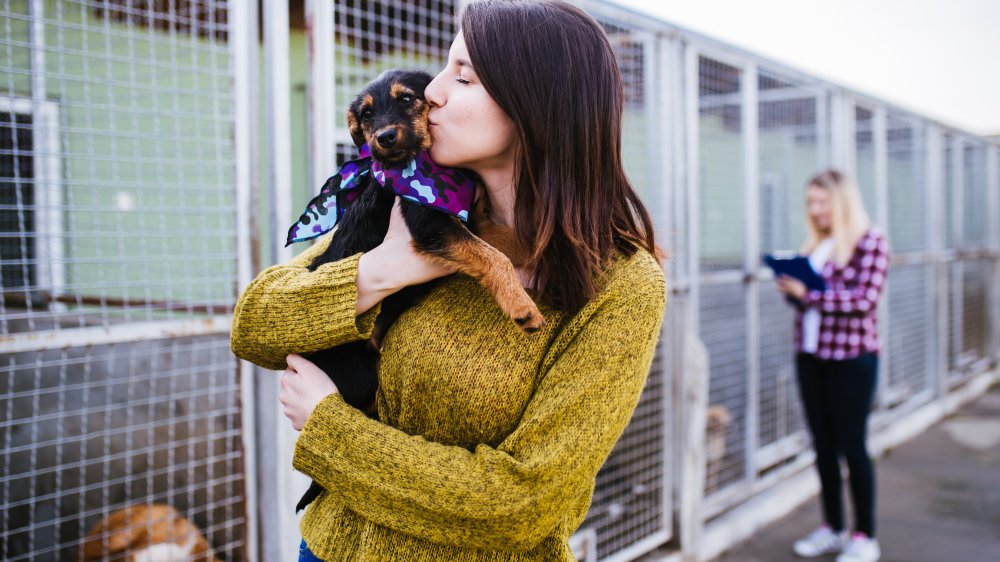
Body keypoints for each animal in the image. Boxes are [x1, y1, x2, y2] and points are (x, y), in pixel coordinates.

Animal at [294, 70, 544, 512]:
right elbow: (493, 255)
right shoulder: (432, 223)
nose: (384, 137)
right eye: (366, 114)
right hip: (361, 374)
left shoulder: (470, 217)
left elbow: (503, 238)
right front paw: (522, 307)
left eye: (408, 99)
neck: (422, 167)